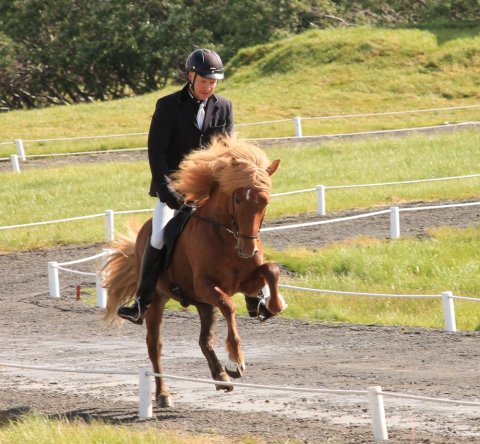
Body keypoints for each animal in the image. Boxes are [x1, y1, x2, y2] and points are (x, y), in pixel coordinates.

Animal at [101, 136, 282, 410]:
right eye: (238, 200)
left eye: (265, 201)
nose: (247, 249)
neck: (226, 236)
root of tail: (142, 233)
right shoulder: (206, 286)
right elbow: (229, 306)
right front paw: (236, 361)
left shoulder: (246, 282)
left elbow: (271, 270)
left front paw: (272, 305)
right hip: (158, 299)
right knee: (154, 345)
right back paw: (164, 394)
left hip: (203, 306)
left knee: (203, 340)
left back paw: (221, 377)